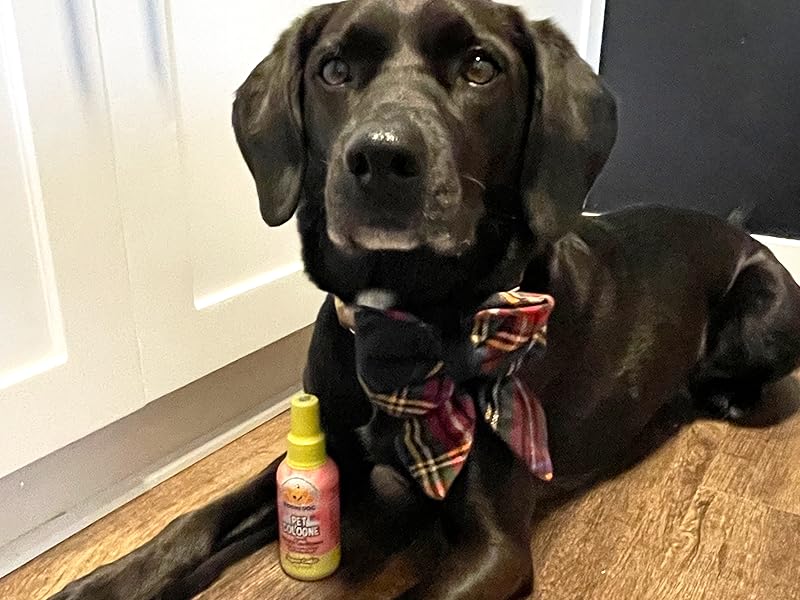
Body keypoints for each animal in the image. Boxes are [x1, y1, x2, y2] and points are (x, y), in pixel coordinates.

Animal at [53, 1, 796, 600]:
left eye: (480, 66)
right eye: (333, 69)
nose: (381, 158)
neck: (401, 324)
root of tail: (734, 224)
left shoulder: (493, 548)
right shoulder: (325, 445)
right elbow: (204, 514)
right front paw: (107, 580)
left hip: (767, 315)